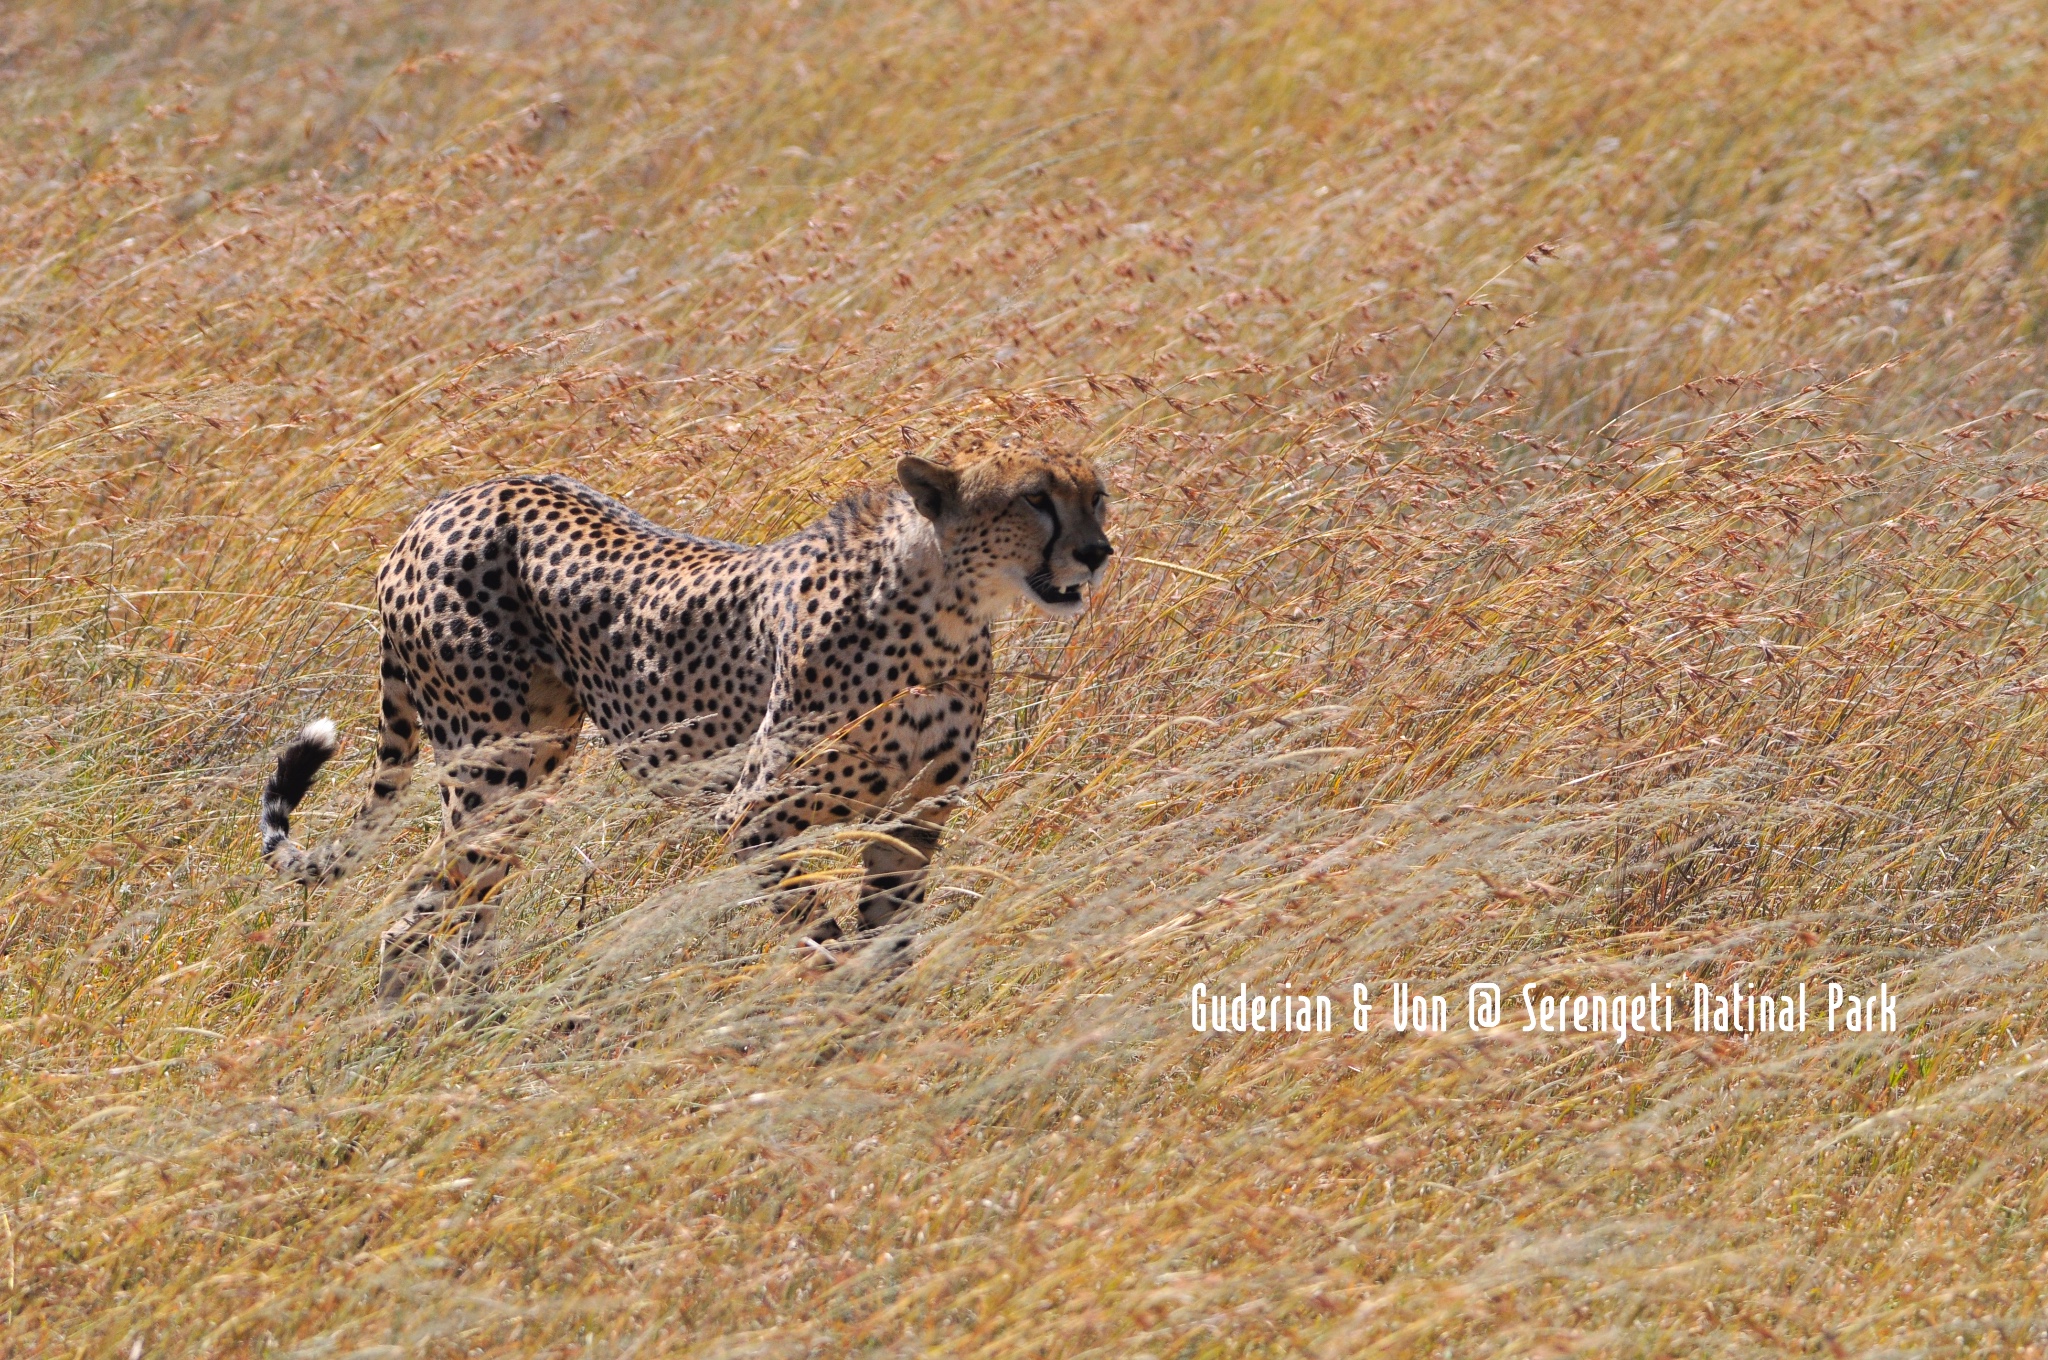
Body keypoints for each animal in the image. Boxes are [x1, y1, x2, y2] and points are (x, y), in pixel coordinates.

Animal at [268, 450, 1122, 995]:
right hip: (494, 773)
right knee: (410, 922)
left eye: (1097, 496)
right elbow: (826, 940)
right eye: (1035, 498)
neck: (944, 610)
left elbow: (890, 943)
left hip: (520, 776)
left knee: (464, 918)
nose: (1098, 551)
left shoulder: (913, 819)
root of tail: (442, 506)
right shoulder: (753, 815)